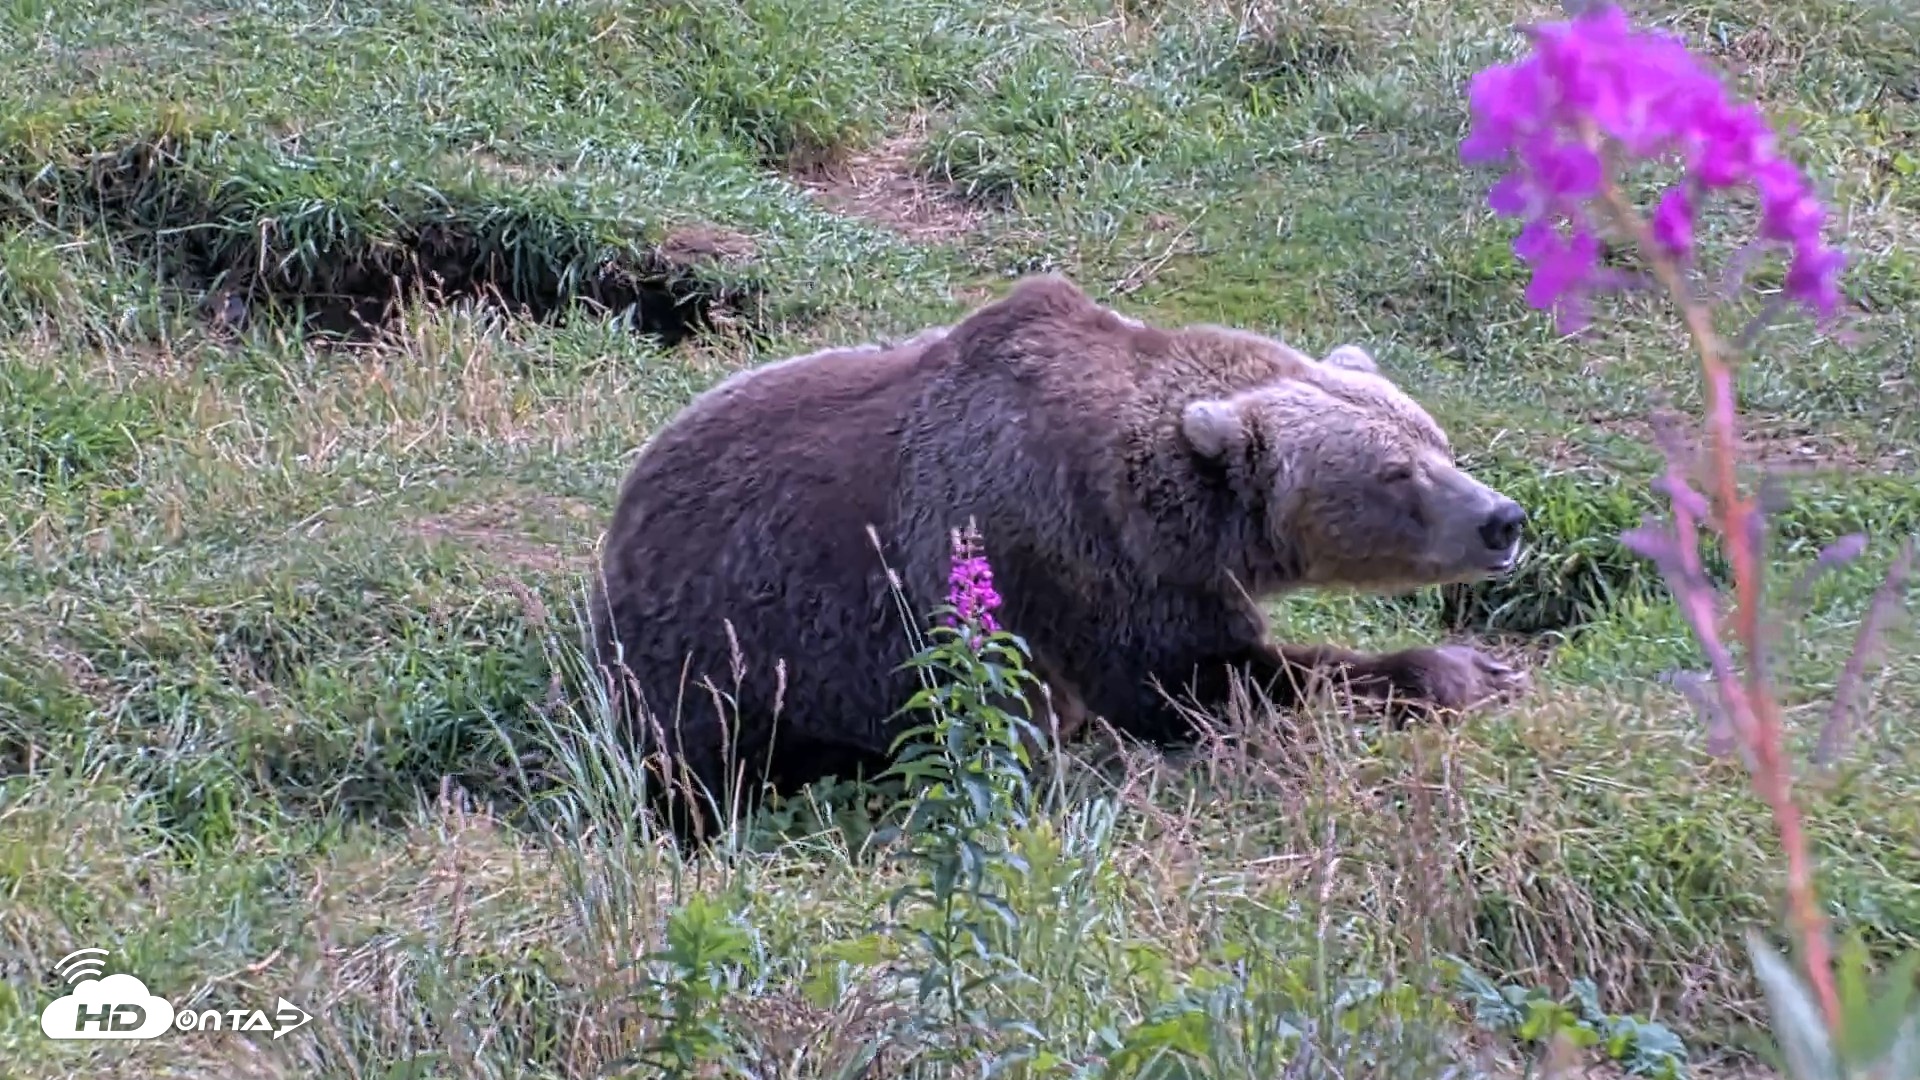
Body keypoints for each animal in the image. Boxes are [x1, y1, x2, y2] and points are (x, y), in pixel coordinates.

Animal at [588, 275, 1530, 841]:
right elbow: (1196, 683)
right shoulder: (1068, 555)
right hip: (727, 662)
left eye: (1437, 441)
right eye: (1395, 472)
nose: (1504, 519)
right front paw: (1464, 670)